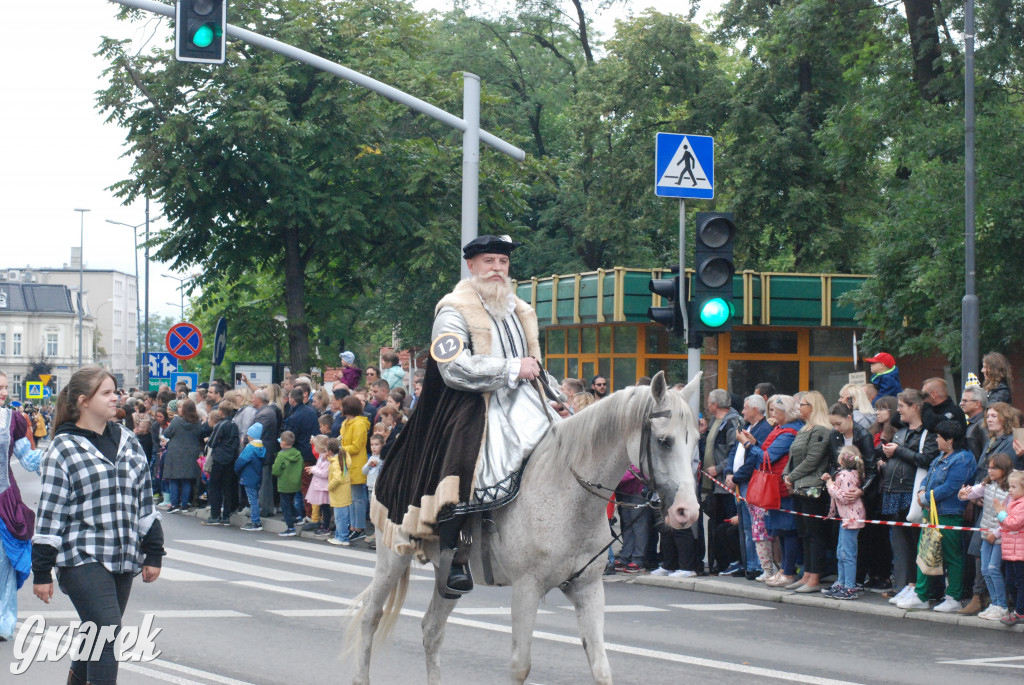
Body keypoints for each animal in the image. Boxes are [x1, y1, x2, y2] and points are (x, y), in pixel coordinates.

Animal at [348, 370, 700, 679]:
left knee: (431, 629)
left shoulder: (587, 588)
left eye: (696, 440)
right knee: (369, 618)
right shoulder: (526, 589)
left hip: (446, 574)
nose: (688, 512)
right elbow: (520, 665)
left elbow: (600, 666)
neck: (567, 494)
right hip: (392, 557)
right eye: (664, 441)